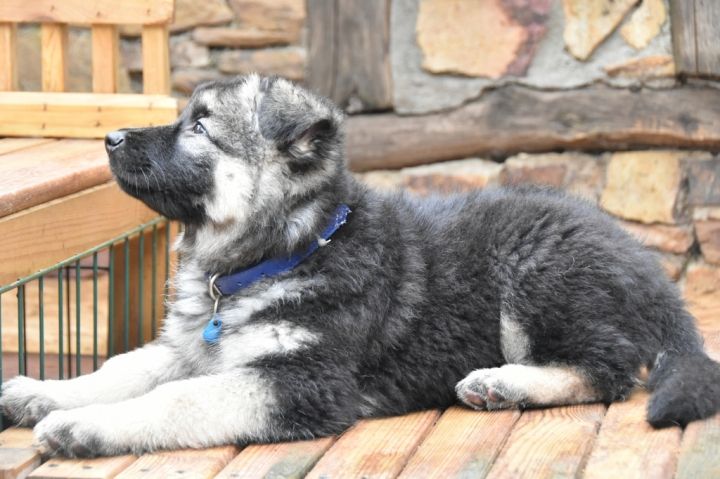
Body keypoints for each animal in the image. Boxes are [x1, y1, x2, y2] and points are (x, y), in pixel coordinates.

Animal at [2, 74, 719, 457]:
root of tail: (642, 262)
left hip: (536, 271)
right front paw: (44, 390)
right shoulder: (191, 347)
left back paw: (504, 382)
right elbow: (124, 369)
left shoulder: (303, 380)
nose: (110, 138)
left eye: (200, 128)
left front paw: (84, 425)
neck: (291, 248)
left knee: (608, 368)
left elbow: (175, 398)